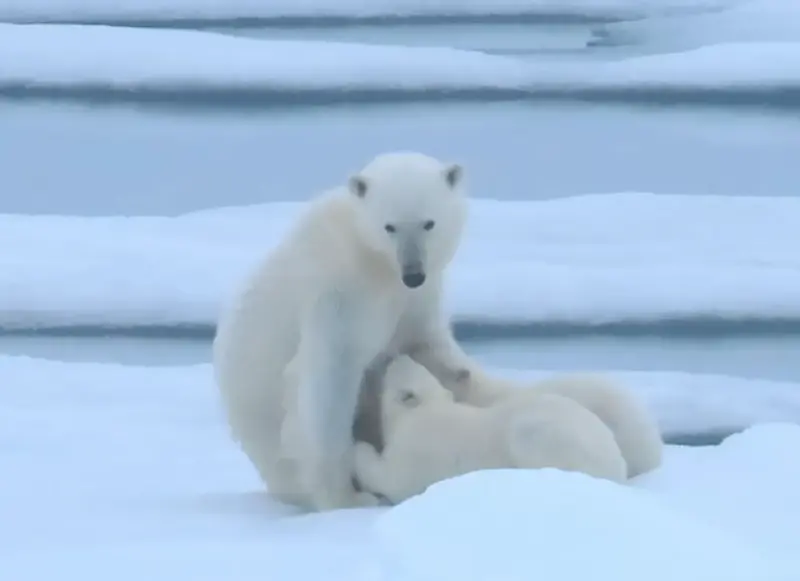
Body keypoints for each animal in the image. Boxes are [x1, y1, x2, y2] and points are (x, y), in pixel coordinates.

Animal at [211, 152, 482, 510]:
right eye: (390, 226)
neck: (376, 262)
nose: (413, 273)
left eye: (429, 223)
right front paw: (345, 497)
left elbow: (424, 339)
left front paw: (458, 372)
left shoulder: (417, 297)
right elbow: (329, 382)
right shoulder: (339, 293)